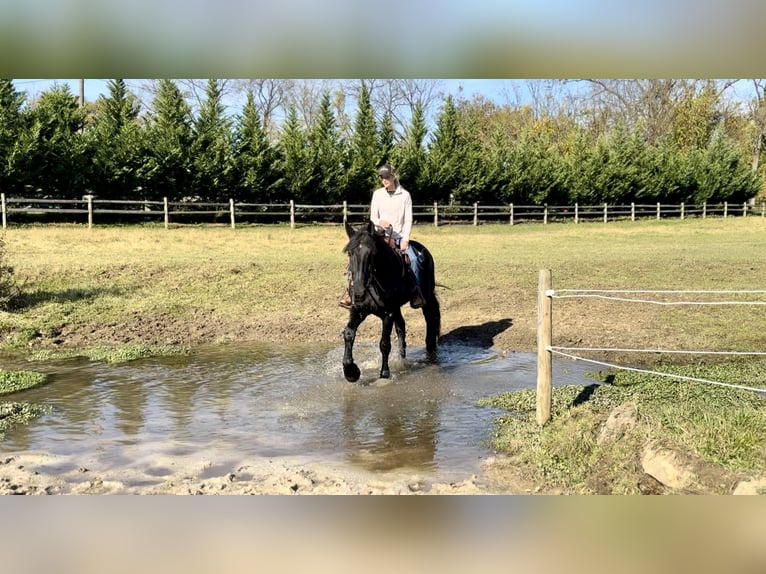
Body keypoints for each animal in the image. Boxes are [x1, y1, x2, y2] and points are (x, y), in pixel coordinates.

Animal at [341, 220, 441, 382]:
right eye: (350, 253)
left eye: (372, 253)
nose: (359, 291)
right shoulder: (358, 309)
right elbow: (349, 333)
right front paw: (351, 372)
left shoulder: (388, 313)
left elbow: (384, 343)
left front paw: (384, 373)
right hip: (397, 308)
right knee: (401, 328)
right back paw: (402, 360)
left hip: (426, 299)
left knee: (431, 321)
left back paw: (431, 355)